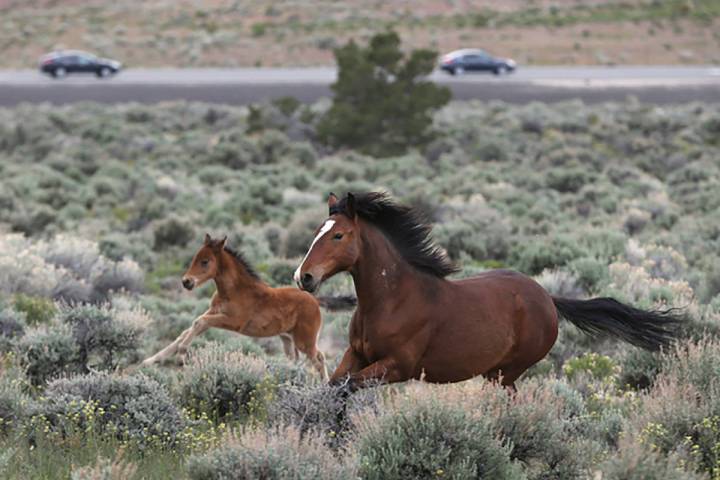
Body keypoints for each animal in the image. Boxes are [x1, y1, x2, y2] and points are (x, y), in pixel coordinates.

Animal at [143, 234, 354, 379]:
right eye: (194, 258)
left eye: (205, 261)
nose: (186, 282)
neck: (233, 291)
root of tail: (315, 300)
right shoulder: (214, 311)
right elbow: (188, 329)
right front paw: (151, 360)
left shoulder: (234, 321)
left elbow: (199, 322)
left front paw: (180, 356)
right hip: (288, 338)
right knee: (296, 360)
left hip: (305, 340)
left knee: (318, 358)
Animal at [293, 192, 683, 390]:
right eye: (317, 230)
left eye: (338, 235)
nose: (303, 277)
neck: (392, 300)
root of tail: (547, 298)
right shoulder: (356, 356)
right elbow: (334, 386)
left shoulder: (397, 366)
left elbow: (348, 387)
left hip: (506, 373)